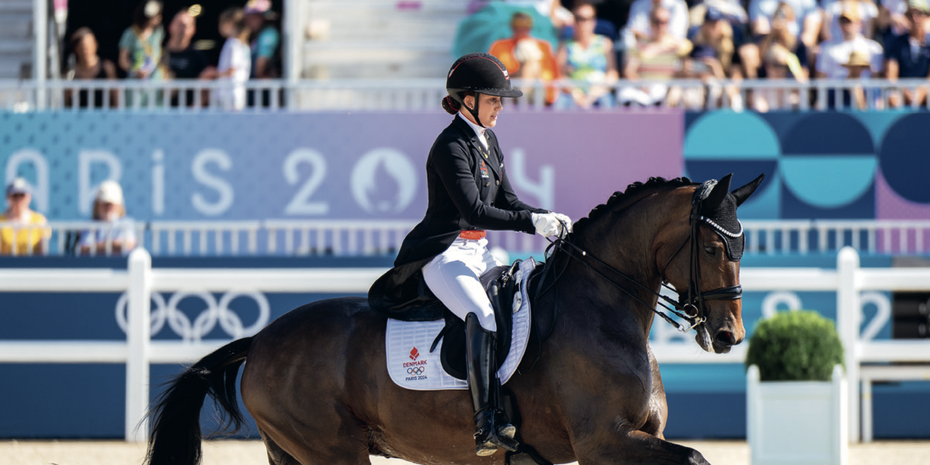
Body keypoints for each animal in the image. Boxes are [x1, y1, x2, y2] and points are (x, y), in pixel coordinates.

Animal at [144, 174, 763, 465]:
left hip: (291, 452)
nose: (729, 335)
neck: (602, 310)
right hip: (330, 449)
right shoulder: (604, 442)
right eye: (714, 247)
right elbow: (699, 455)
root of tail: (261, 339)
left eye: (743, 245)